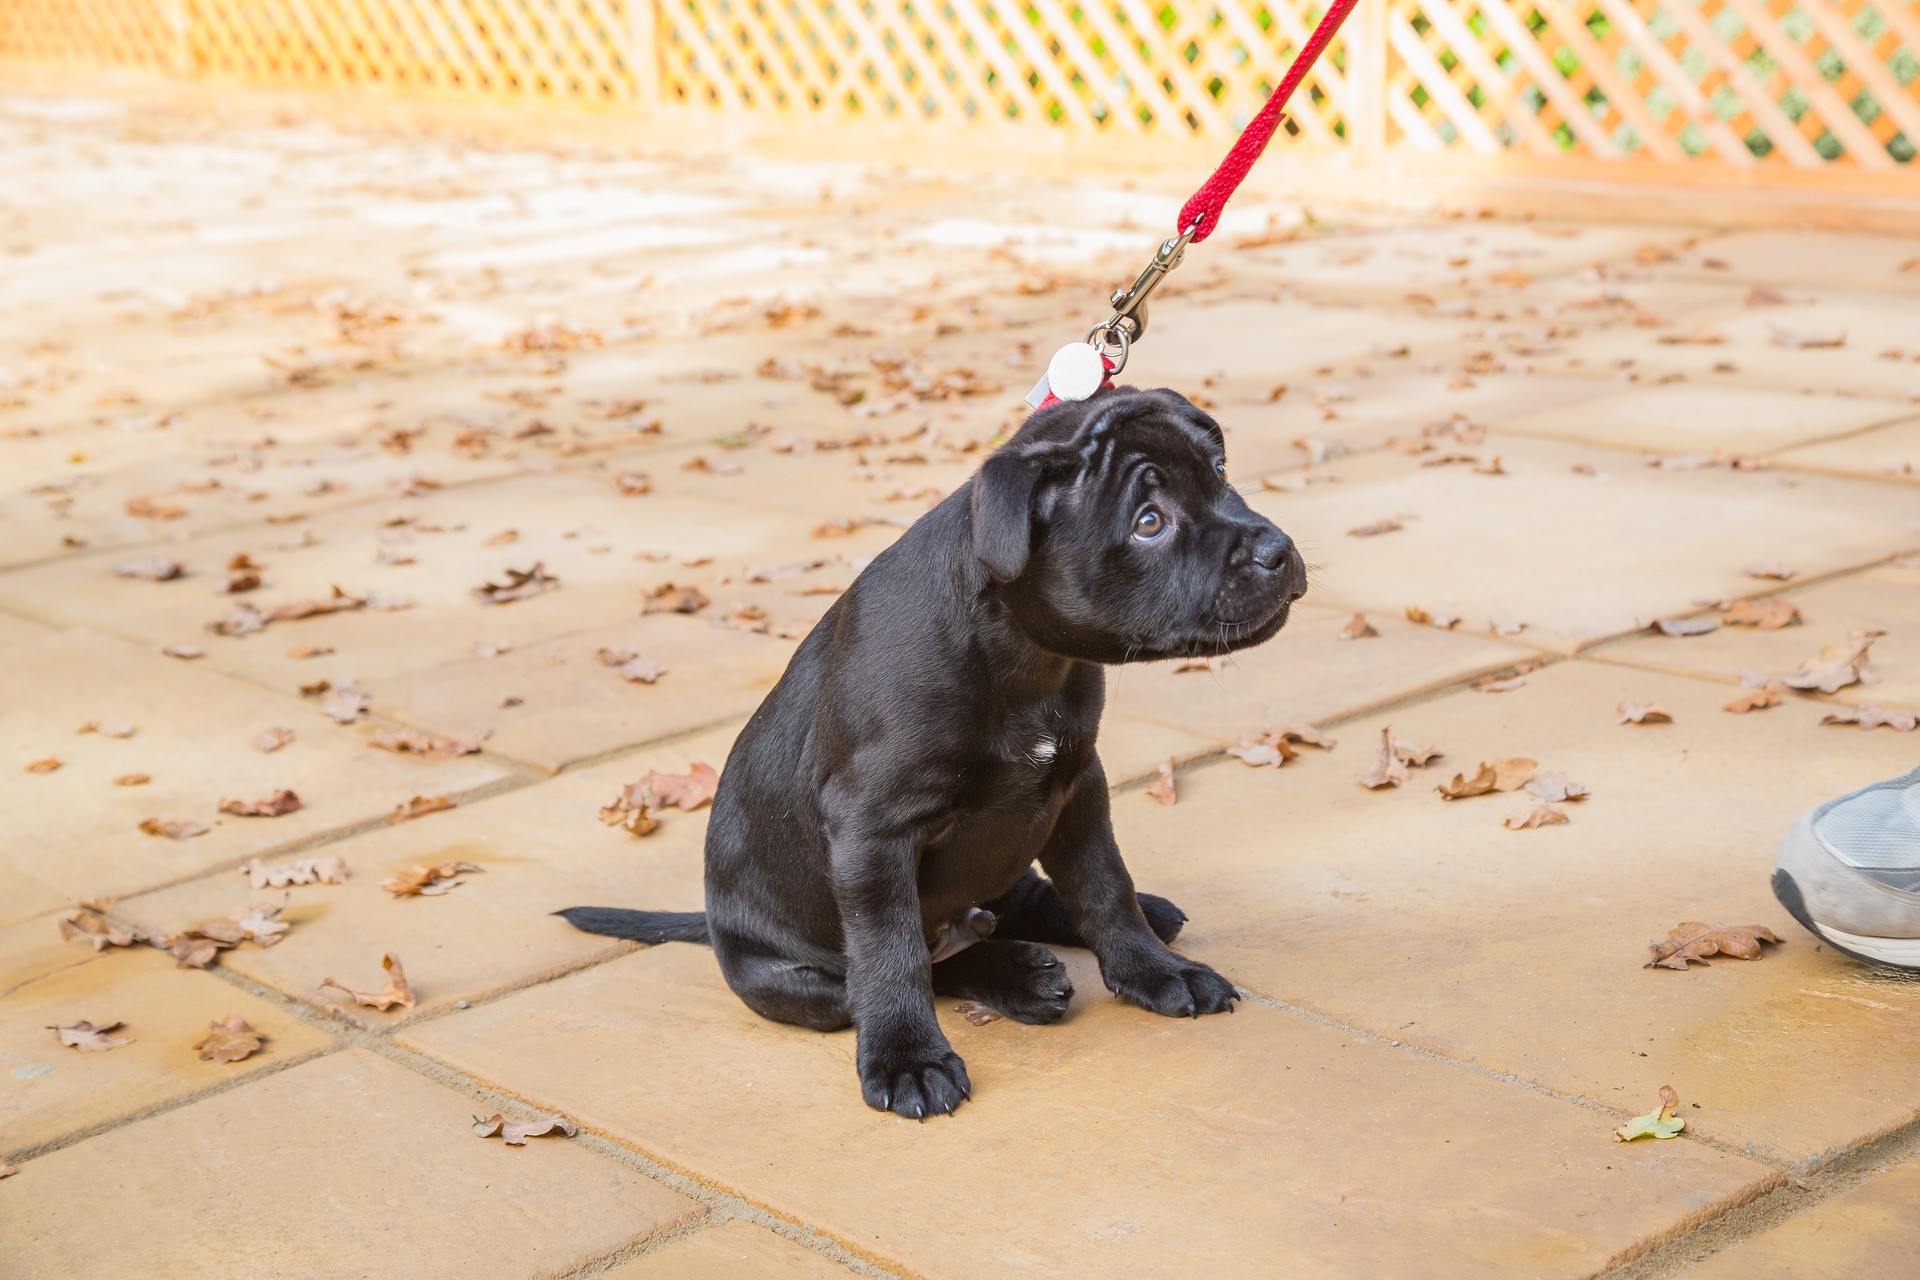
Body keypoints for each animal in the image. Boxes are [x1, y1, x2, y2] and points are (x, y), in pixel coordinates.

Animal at [556, 385, 1305, 1113]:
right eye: (1149, 521)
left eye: (1220, 472)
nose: (1278, 549)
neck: (1023, 658)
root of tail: (712, 927)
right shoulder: (873, 830)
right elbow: (892, 955)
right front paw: (907, 1060)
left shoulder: (1075, 783)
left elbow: (1104, 886)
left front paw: (1154, 970)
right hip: (788, 979)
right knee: (896, 972)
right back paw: (1014, 976)